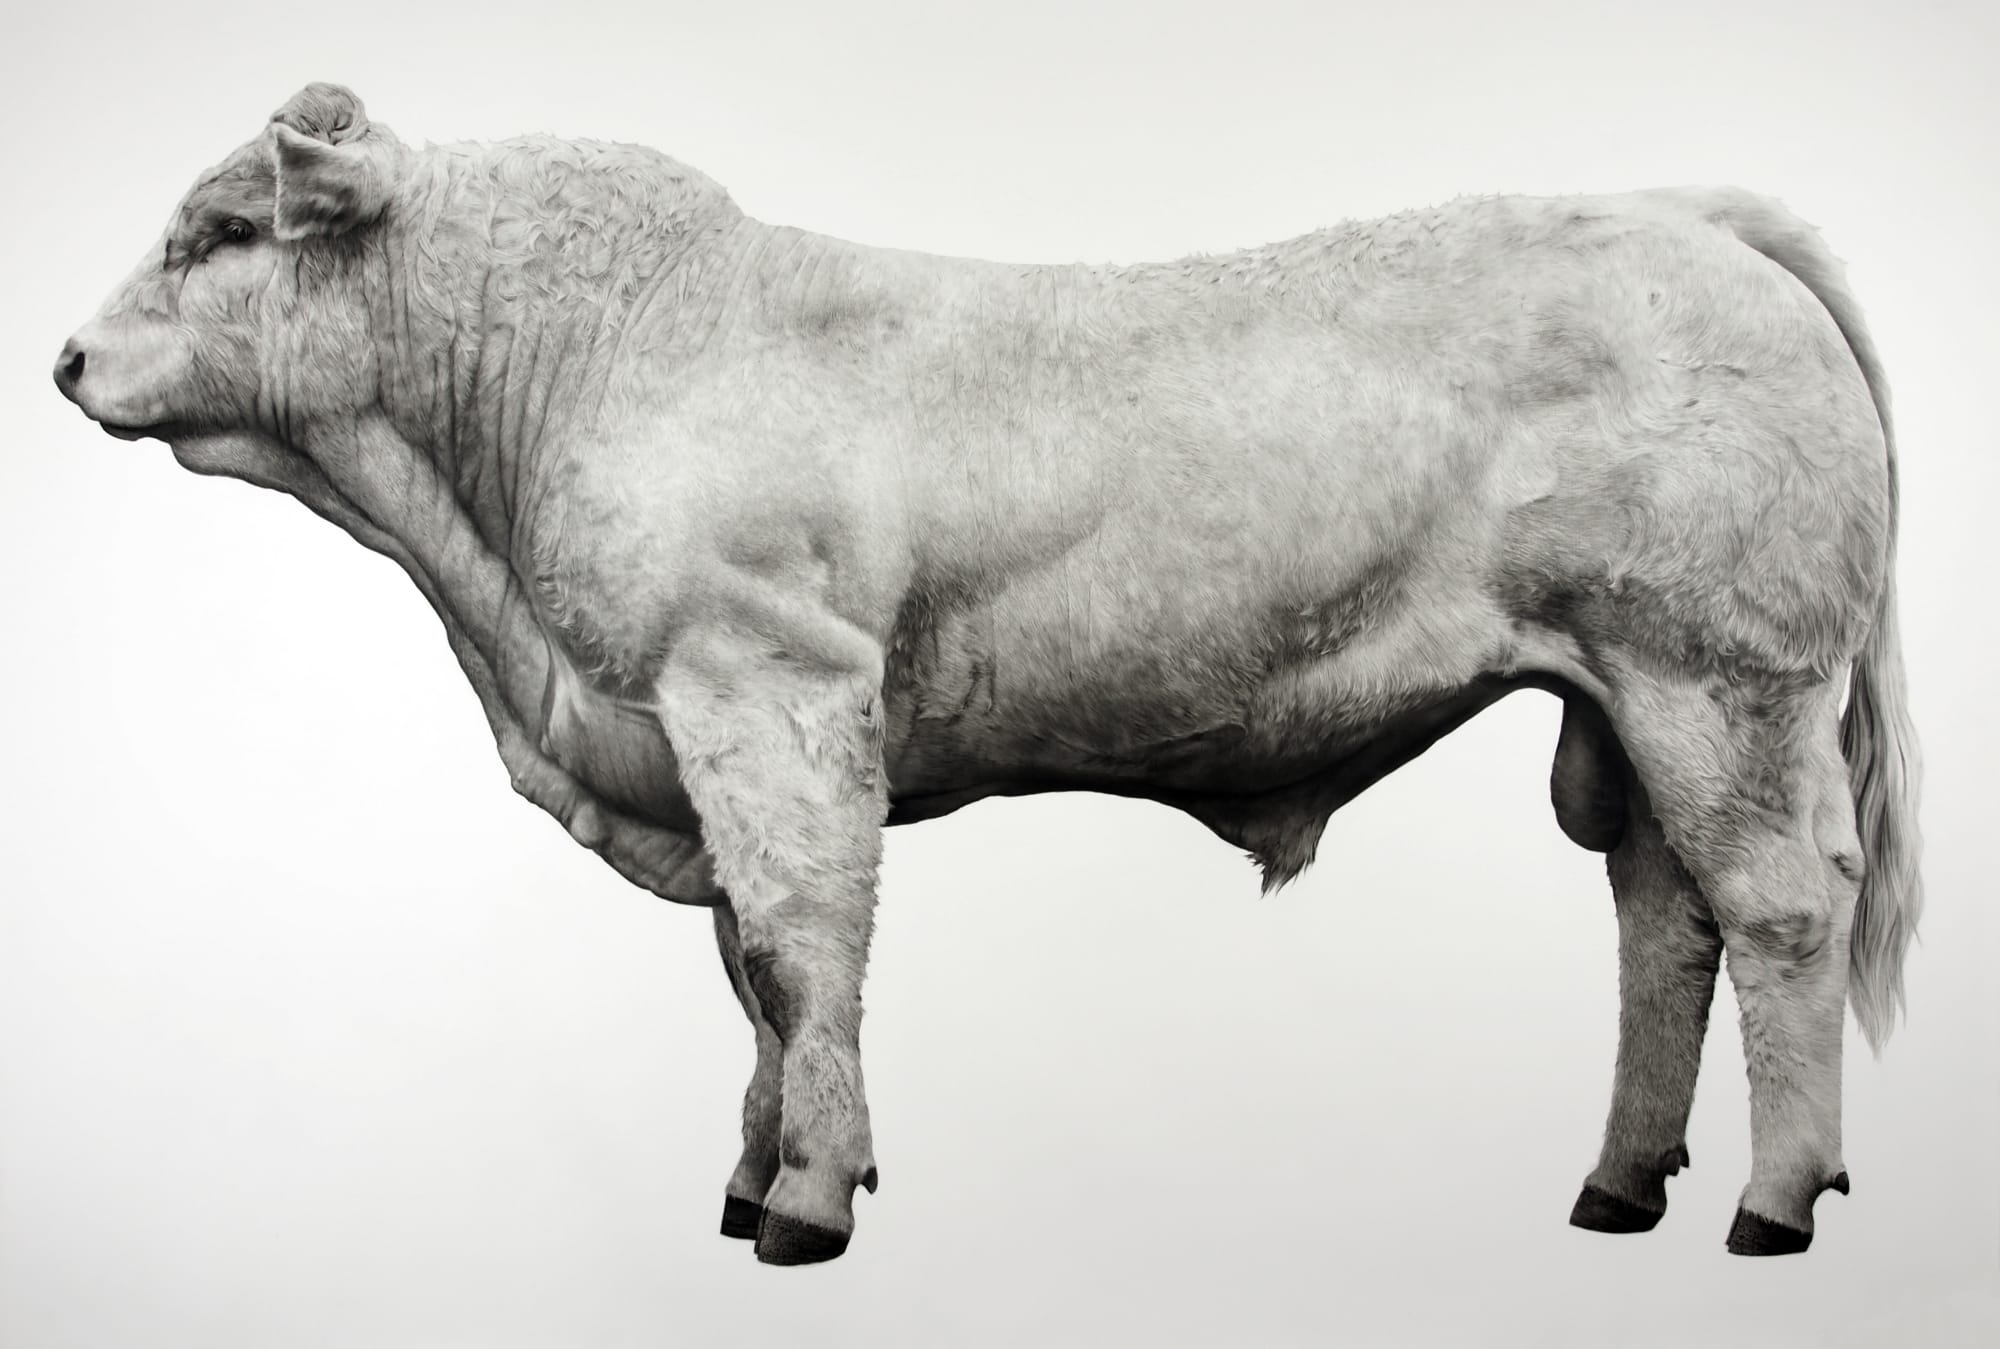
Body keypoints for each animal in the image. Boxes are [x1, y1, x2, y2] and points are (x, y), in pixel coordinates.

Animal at [55, 83, 1921, 1266]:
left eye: (216, 231)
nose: (64, 356)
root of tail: (1691, 214)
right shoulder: (707, 727)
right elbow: (750, 970)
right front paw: (756, 1170)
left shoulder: (768, 686)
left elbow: (797, 950)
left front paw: (806, 1199)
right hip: (1629, 698)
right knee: (1664, 916)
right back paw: (1623, 1179)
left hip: (1721, 677)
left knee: (1779, 910)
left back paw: (1773, 1197)